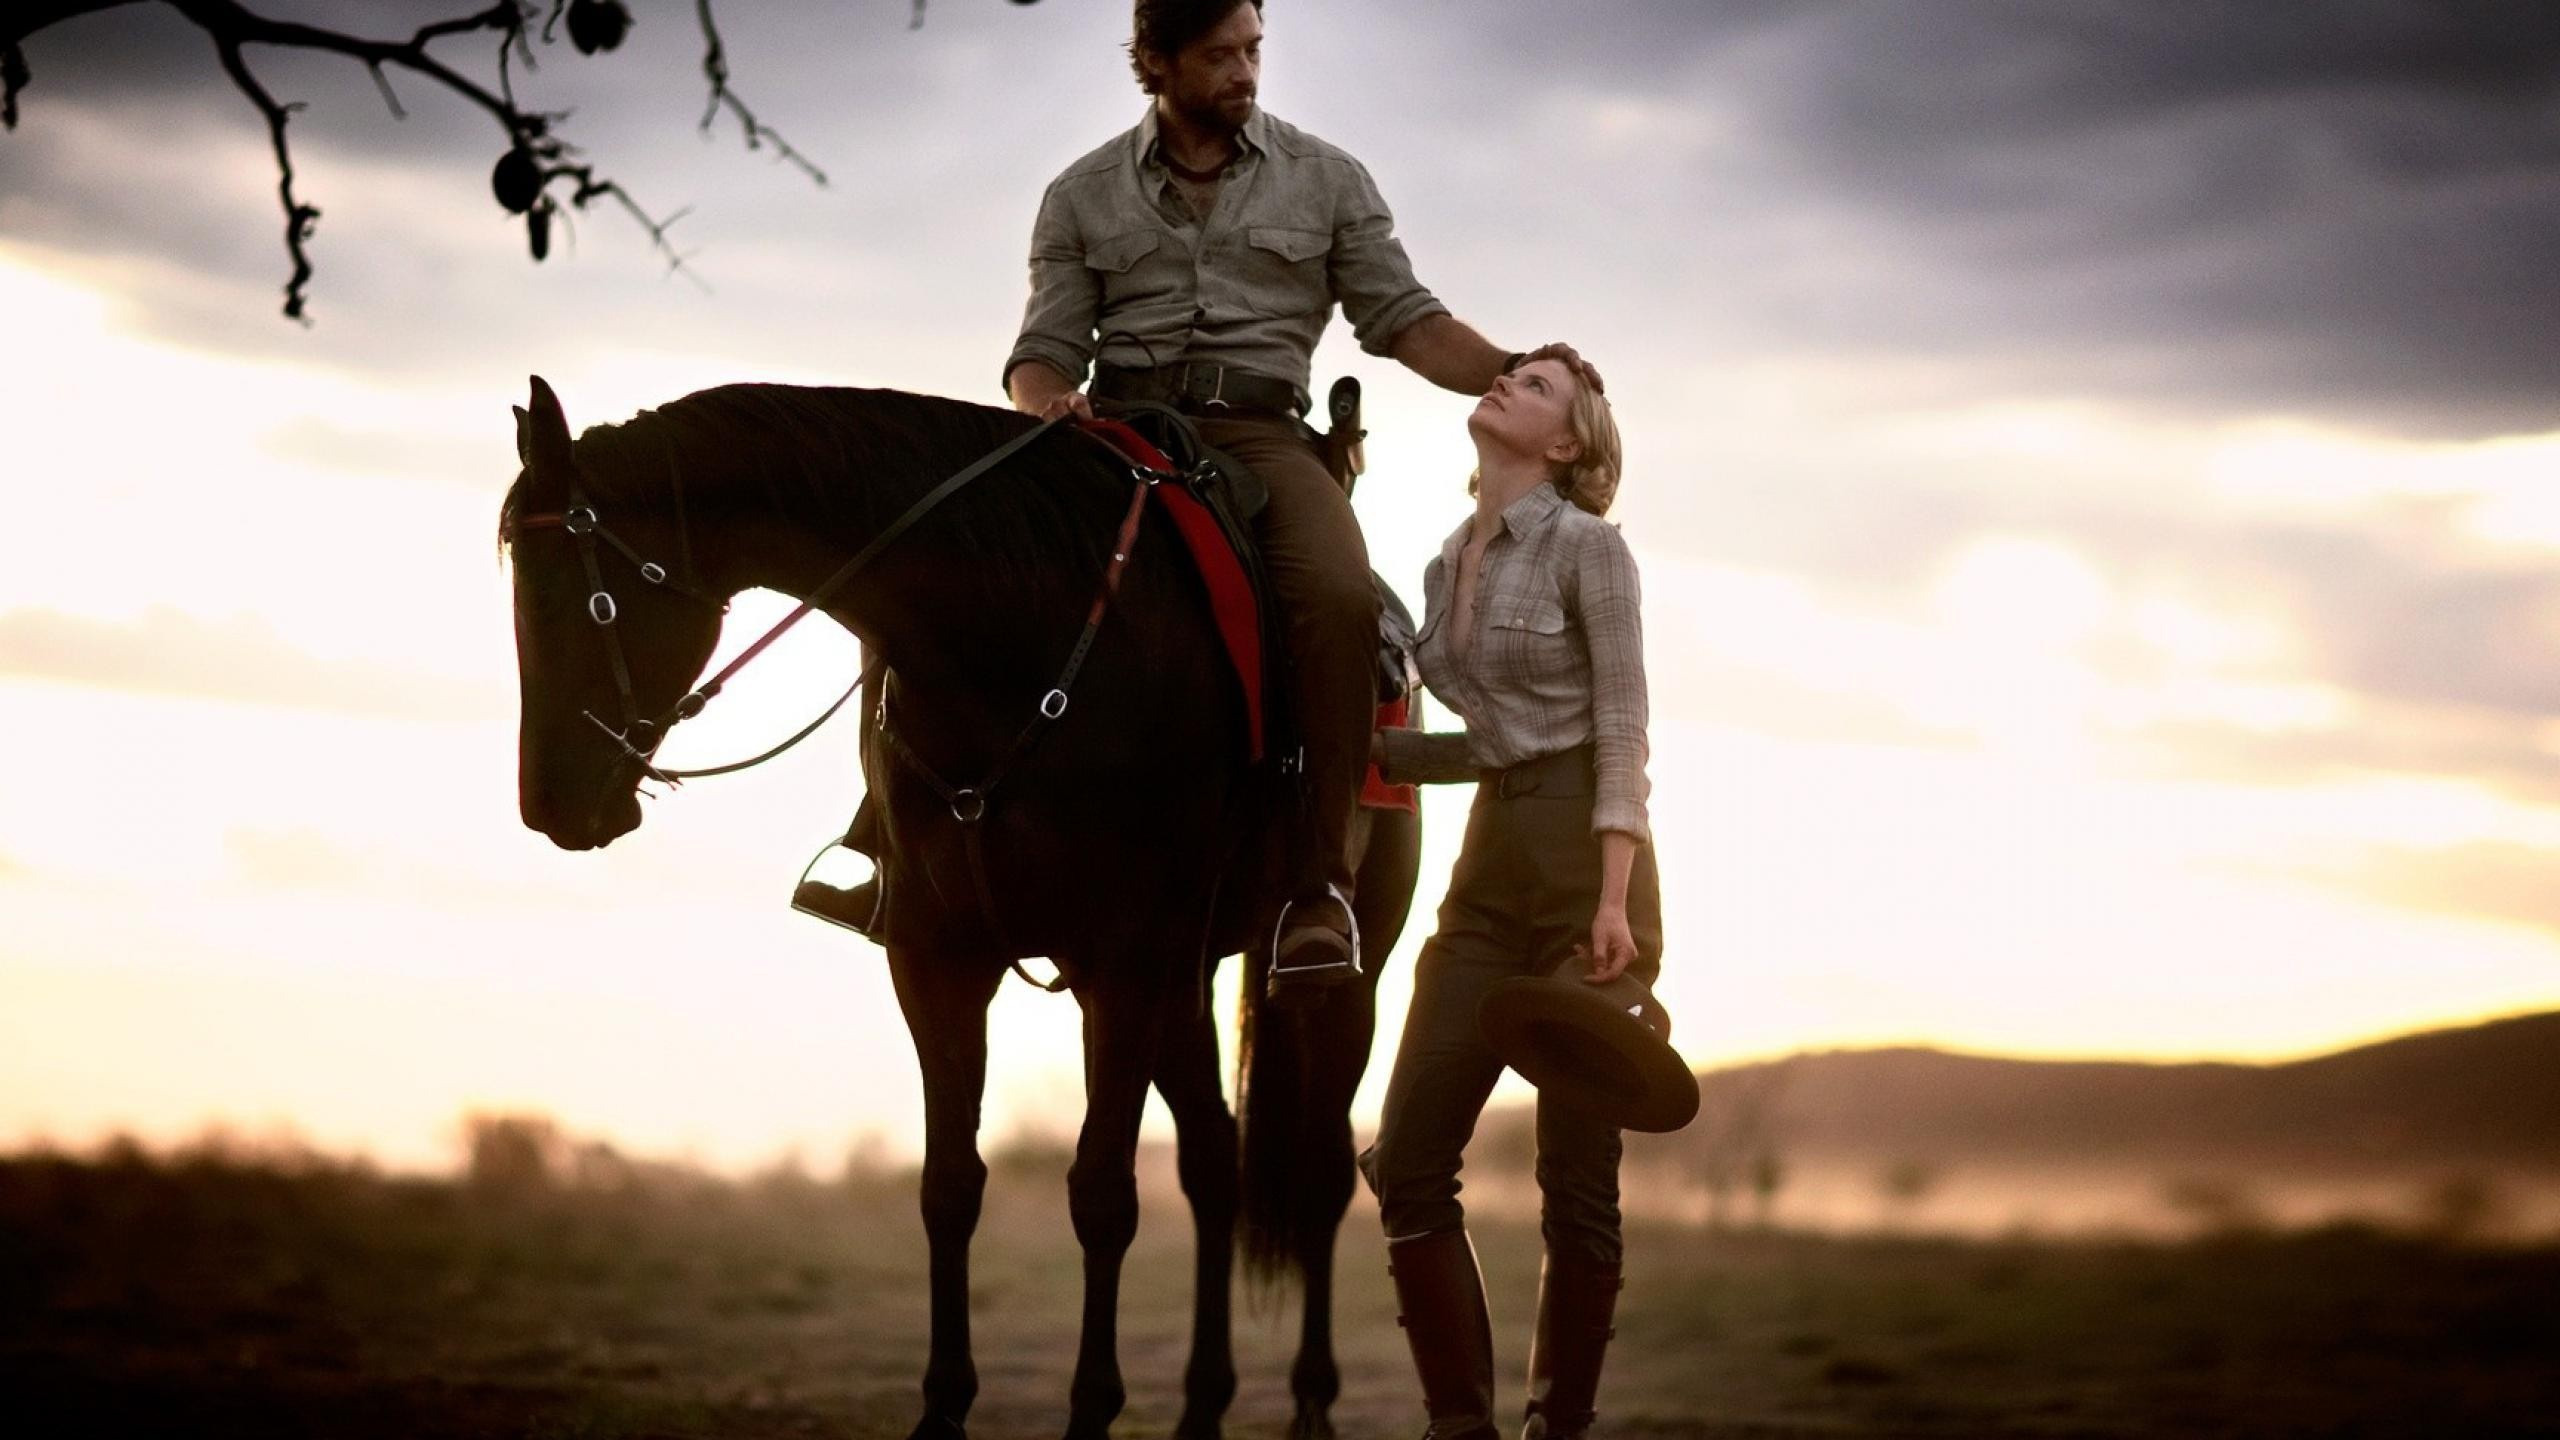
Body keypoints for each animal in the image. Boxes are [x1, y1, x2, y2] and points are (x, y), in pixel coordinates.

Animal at [499, 376, 1423, 1424]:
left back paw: (1309, 1400)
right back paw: (1202, 1404)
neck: (1018, 638)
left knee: (1317, 1174)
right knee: (1212, 1163)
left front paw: (1092, 1408)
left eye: (583, 595)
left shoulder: (1124, 964)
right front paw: (942, 1405)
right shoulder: (943, 962)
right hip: (1183, 986)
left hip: (1336, 981)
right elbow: (949, 1186)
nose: (550, 804)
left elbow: (1102, 1195)